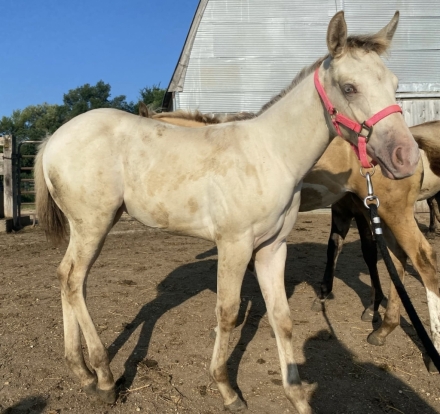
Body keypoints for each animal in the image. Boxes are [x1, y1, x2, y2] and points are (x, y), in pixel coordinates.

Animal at [36, 11, 418, 412]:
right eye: (349, 87)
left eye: (394, 85)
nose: (405, 157)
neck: (272, 154)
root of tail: (52, 140)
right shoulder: (234, 245)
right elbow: (228, 312)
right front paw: (226, 388)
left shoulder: (272, 249)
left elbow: (282, 318)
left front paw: (297, 395)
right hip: (92, 224)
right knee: (74, 280)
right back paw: (105, 376)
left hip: (88, 227)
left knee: (68, 278)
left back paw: (81, 370)